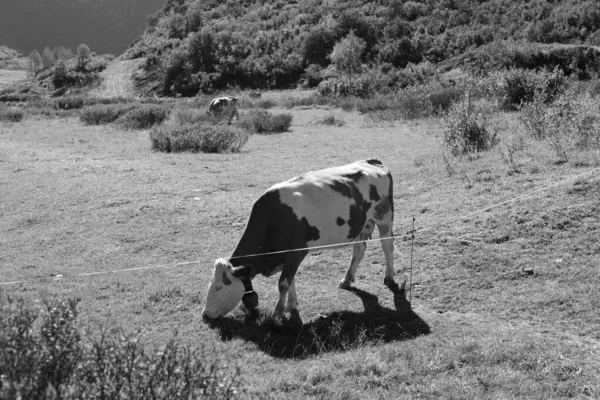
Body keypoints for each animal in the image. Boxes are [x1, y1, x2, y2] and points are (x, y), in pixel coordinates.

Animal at [203, 159, 398, 318]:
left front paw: (278, 313)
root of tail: (372, 161)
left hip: (384, 217)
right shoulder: (288, 255)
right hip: (359, 226)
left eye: (219, 287)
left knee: (387, 246)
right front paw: (292, 305)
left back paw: (389, 277)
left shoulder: (297, 251)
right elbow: (290, 280)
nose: (205, 315)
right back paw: (347, 279)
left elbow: (283, 283)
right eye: (209, 286)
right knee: (359, 250)